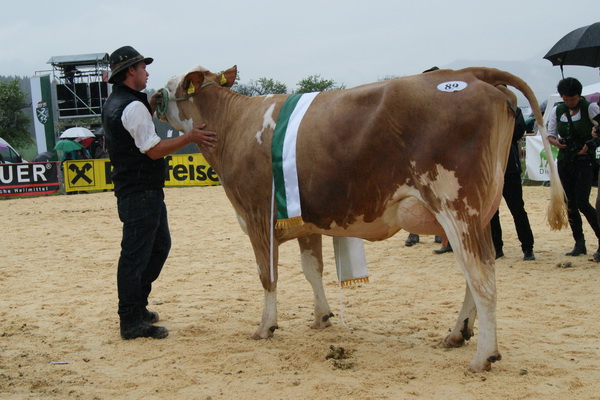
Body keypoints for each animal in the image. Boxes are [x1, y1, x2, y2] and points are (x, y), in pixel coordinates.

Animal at [157, 66, 564, 372]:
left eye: (168, 87)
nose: (151, 97)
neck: (234, 124)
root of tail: (467, 73)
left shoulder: (257, 217)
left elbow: (267, 276)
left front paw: (264, 327)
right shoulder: (302, 220)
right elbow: (312, 269)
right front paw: (321, 318)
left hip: (456, 206)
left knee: (482, 277)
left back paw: (483, 357)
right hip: (479, 213)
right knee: (477, 273)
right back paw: (457, 334)